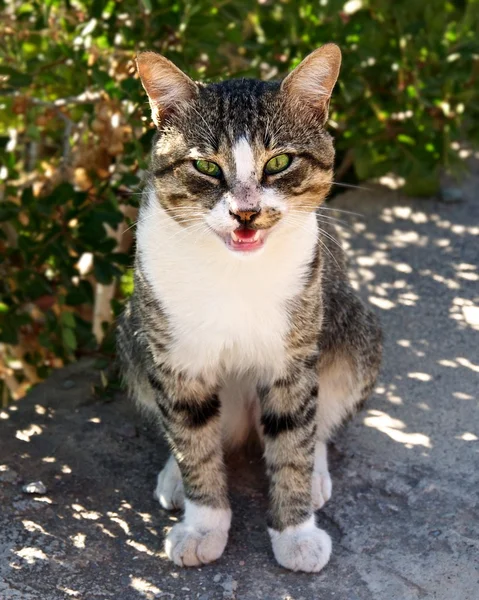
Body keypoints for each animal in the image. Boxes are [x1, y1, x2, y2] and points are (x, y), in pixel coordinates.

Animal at [118, 44, 384, 576]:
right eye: (206, 167)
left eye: (279, 161)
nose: (245, 212)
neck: (234, 271)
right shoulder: (176, 356)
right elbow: (193, 442)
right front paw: (204, 525)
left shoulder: (293, 353)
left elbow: (293, 438)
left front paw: (295, 532)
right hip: (133, 335)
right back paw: (175, 476)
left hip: (354, 327)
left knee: (320, 415)